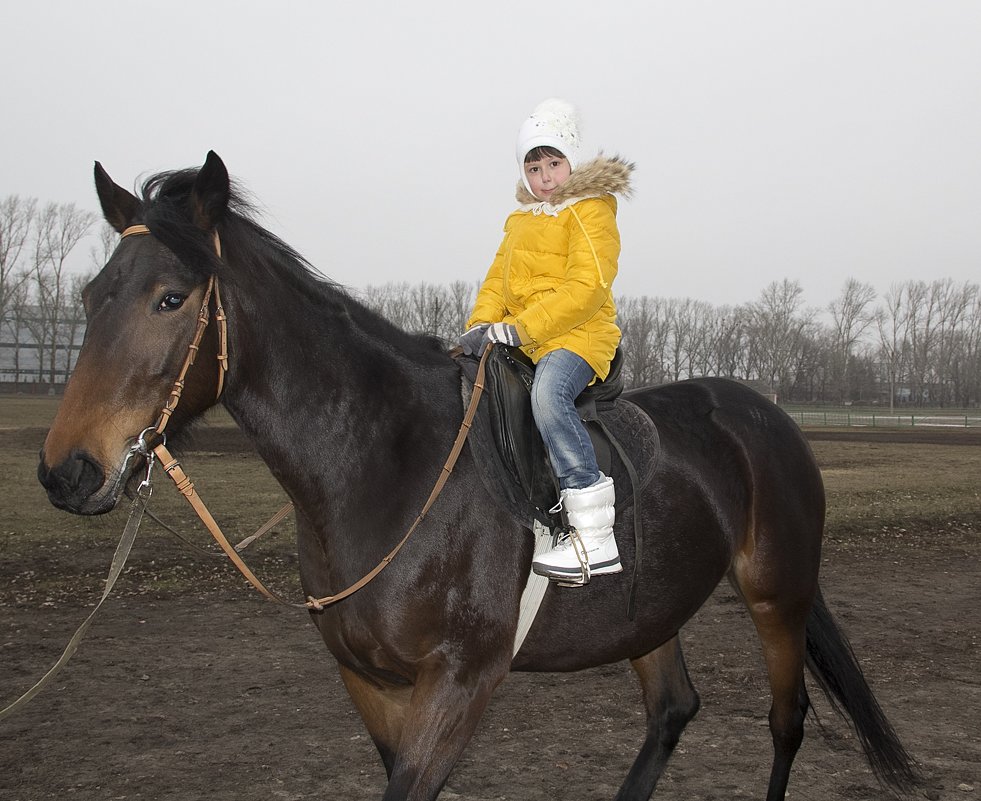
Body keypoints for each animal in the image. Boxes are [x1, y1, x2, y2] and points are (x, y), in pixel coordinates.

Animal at [34, 152, 916, 800]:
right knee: (672, 708)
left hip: (776, 592)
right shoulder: (370, 680)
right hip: (650, 608)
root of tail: (761, 412)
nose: (66, 471)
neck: (387, 466)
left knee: (785, 718)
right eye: (92, 292)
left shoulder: (461, 679)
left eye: (170, 297)